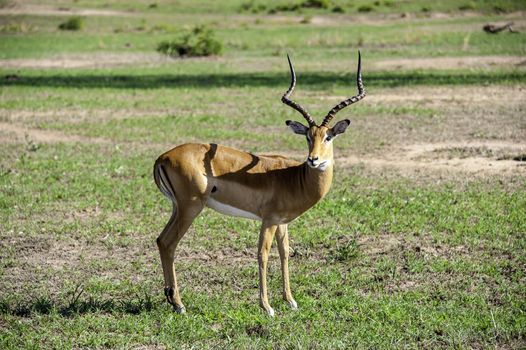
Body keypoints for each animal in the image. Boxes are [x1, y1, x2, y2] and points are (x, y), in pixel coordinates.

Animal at [155, 52, 366, 318]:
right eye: (308, 137)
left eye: (328, 136)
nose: (313, 159)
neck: (294, 178)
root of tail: (163, 157)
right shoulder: (269, 220)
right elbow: (262, 254)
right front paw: (267, 306)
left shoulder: (282, 222)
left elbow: (285, 252)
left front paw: (290, 300)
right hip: (190, 208)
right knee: (169, 243)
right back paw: (179, 304)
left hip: (178, 208)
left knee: (161, 240)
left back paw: (171, 299)